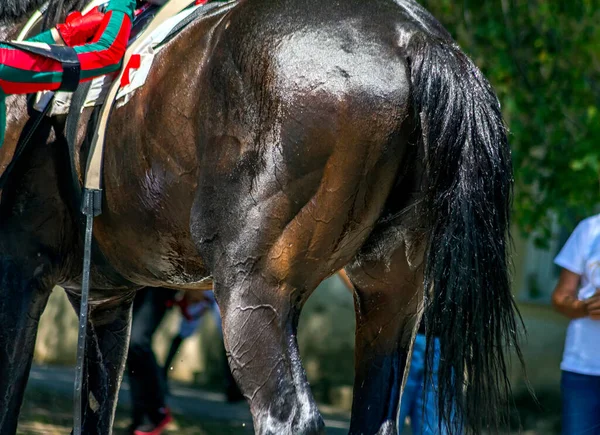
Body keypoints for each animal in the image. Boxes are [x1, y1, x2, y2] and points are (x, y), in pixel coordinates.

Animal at [0, 0, 520, 434]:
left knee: (287, 415)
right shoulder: (103, 298)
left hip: (253, 293)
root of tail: (410, 35)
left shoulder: (22, 267)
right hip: (390, 298)